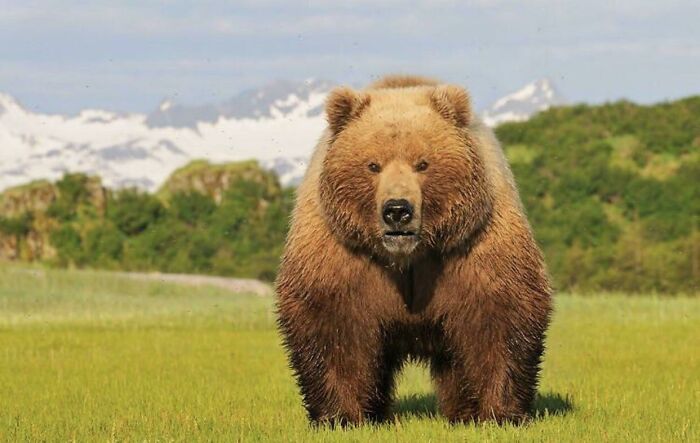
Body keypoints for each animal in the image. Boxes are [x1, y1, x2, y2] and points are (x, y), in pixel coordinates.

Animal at [275, 74, 552, 425]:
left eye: (423, 163)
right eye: (373, 164)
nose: (397, 210)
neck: (407, 257)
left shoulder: (472, 246)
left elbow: (499, 315)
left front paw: (500, 413)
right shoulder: (341, 252)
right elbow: (332, 322)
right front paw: (339, 416)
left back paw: (462, 412)